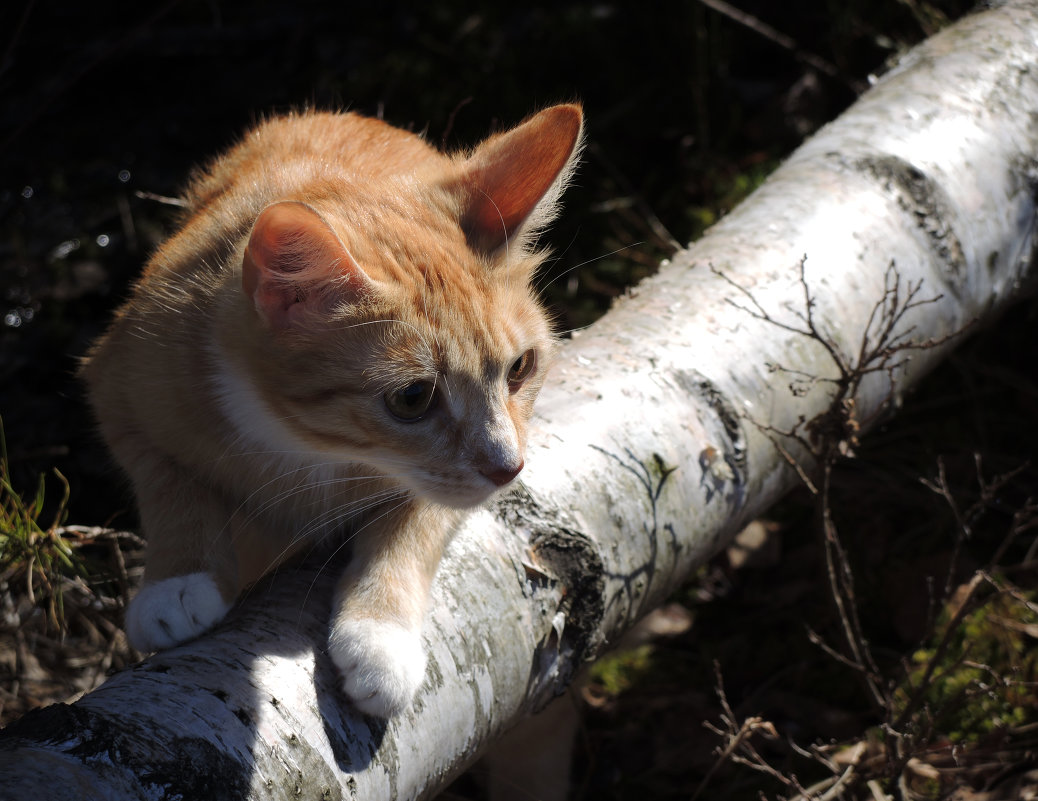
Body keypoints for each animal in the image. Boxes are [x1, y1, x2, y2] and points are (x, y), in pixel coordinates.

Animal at [80, 104, 585, 713]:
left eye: (519, 369)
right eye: (413, 399)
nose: (508, 468)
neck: (308, 445)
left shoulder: (454, 481)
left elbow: (417, 519)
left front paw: (382, 633)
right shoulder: (117, 383)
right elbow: (168, 479)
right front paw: (177, 580)